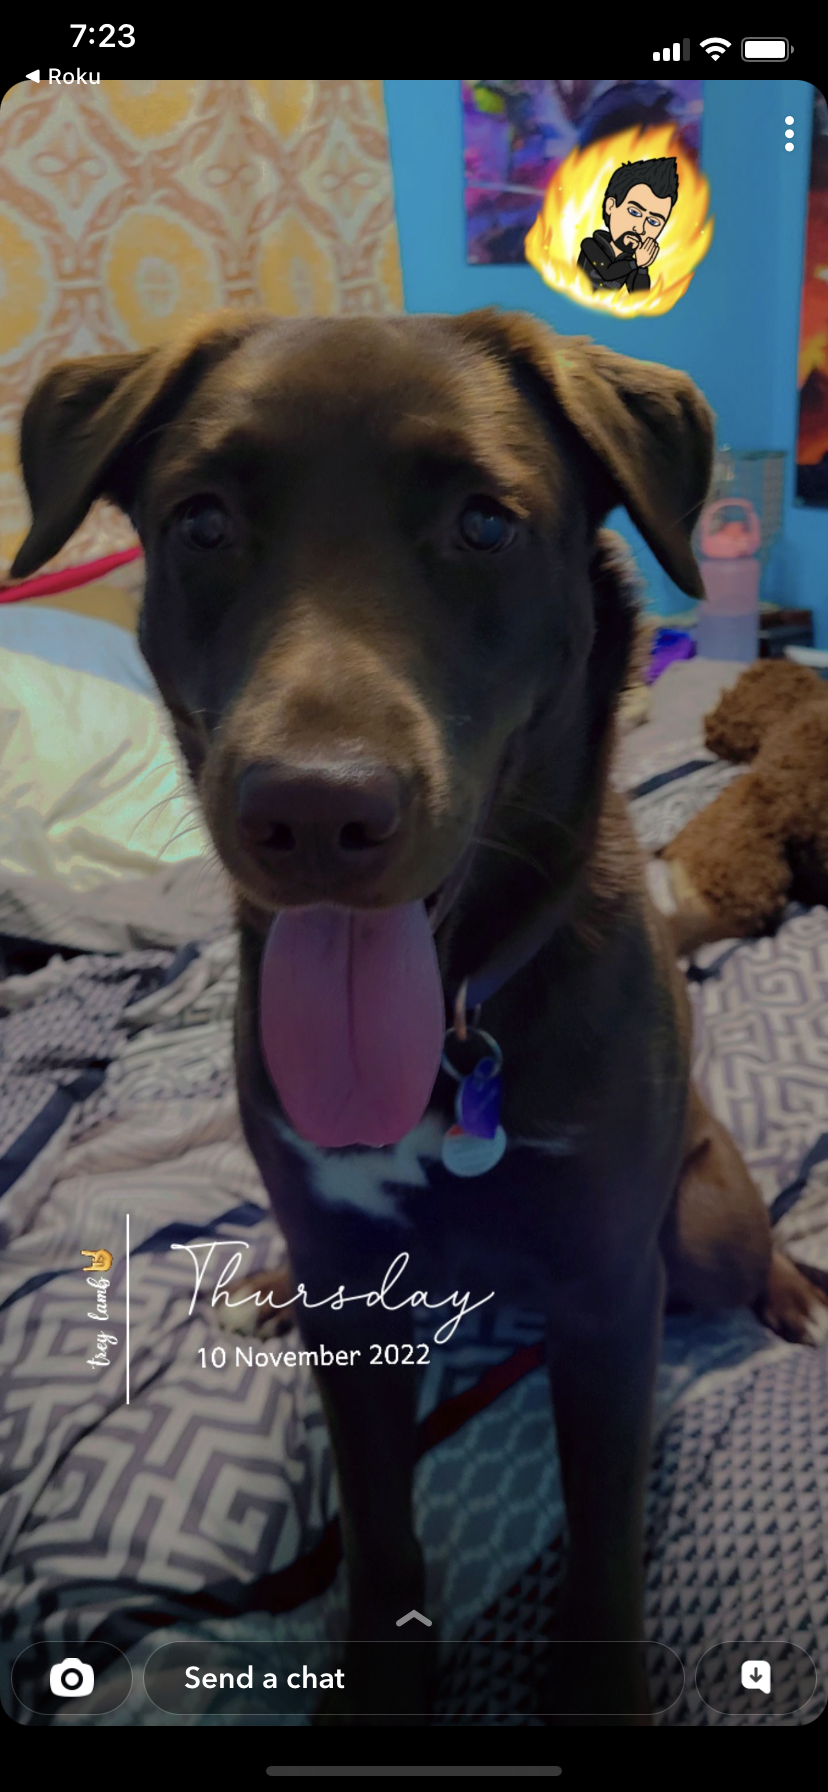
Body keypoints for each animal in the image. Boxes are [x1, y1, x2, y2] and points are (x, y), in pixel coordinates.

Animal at [12, 307, 827, 1725]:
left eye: (485, 523)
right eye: (202, 521)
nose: (313, 812)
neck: (455, 1025)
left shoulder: (609, 1290)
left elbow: (602, 1527)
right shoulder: (352, 1292)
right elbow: (381, 1518)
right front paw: (383, 1679)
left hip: (705, 1218)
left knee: (747, 1254)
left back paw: (800, 1295)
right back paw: (265, 1286)